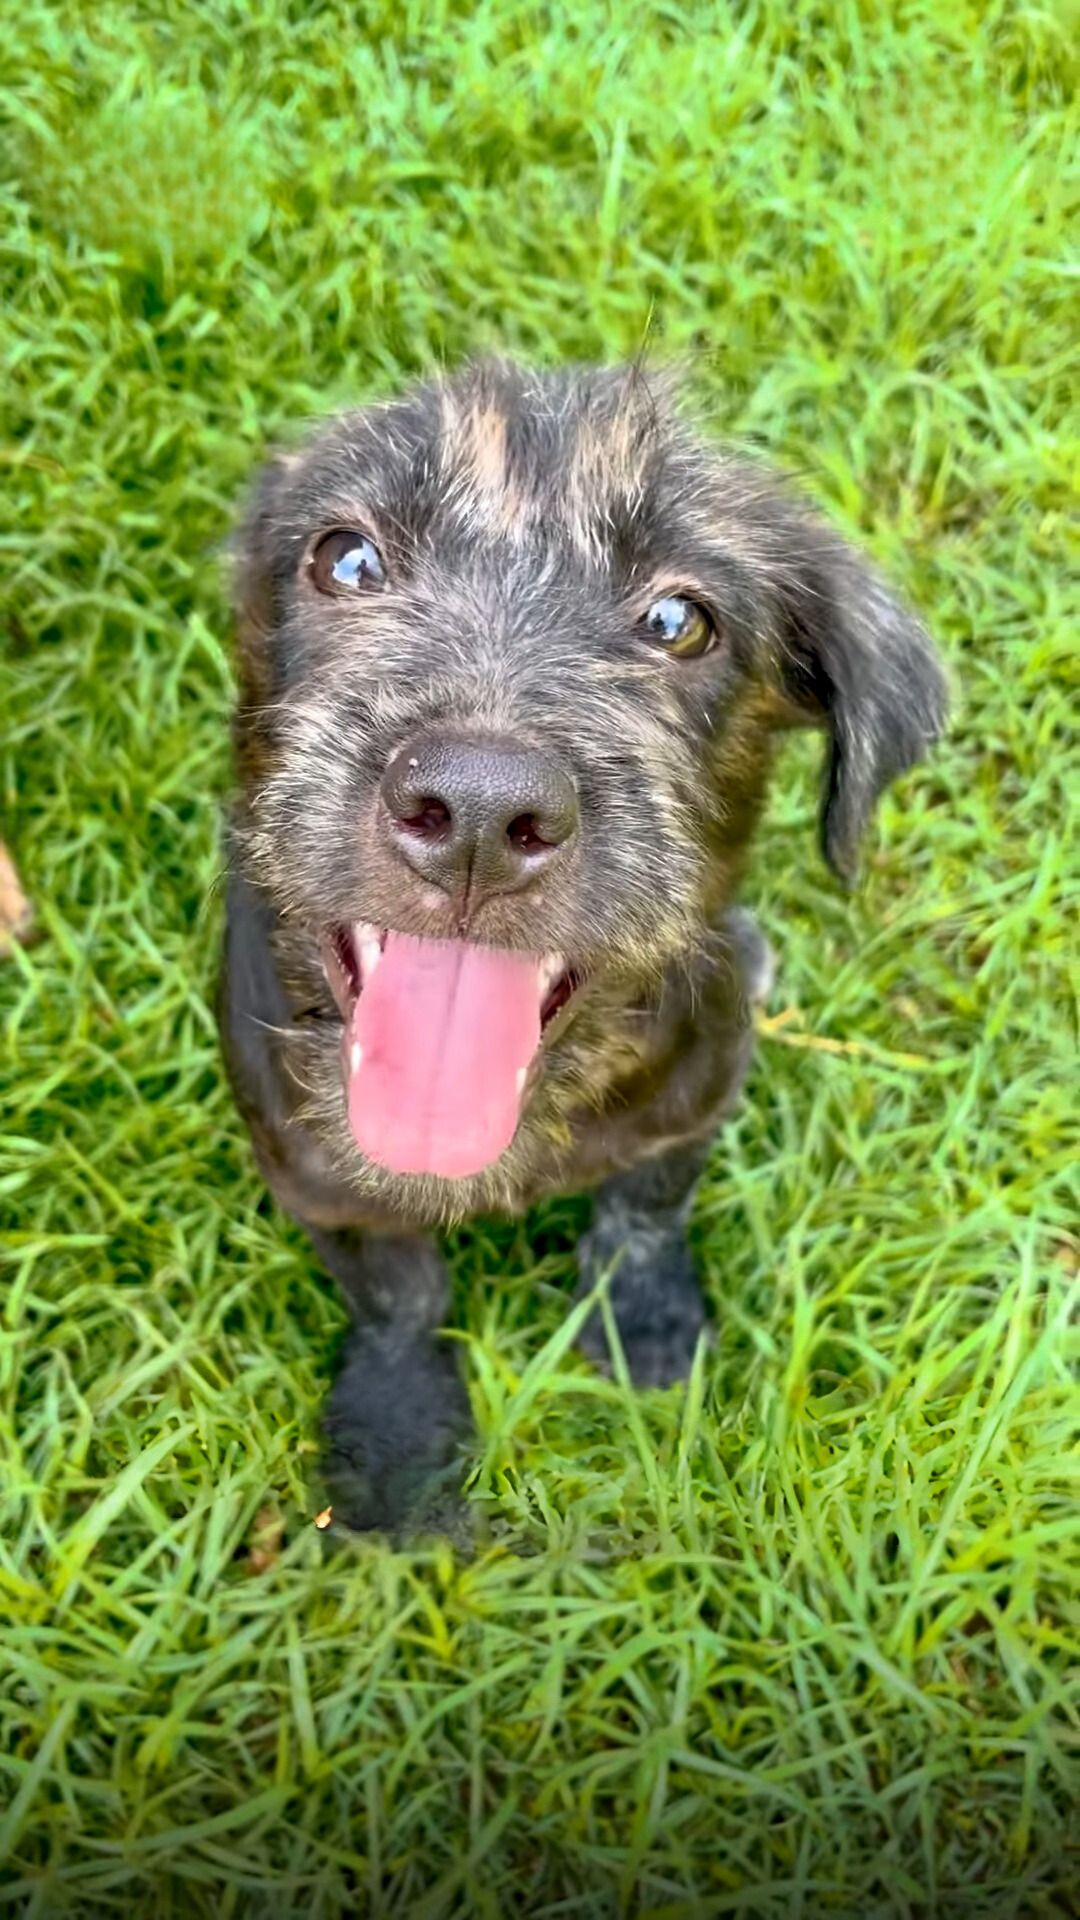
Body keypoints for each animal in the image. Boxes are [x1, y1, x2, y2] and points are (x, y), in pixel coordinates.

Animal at [219, 357, 941, 1528]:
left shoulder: (697, 1092)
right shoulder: (309, 1169)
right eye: (347, 559)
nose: (477, 807)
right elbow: (396, 1288)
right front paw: (399, 1436)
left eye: (679, 620)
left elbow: (647, 1201)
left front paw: (644, 1324)